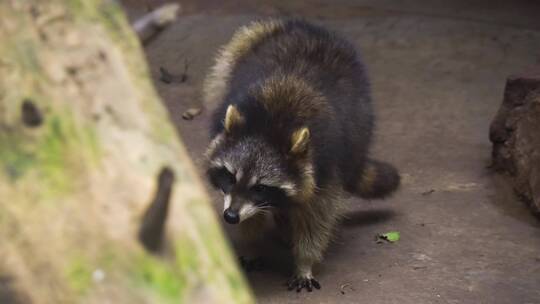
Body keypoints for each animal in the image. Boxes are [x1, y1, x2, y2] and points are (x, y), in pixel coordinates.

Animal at [205, 19, 398, 292]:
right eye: (230, 177)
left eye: (260, 187)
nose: (230, 216)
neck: (270, 125)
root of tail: (308, 26)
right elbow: (252, 217)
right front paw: (251, 243)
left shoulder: (325, 166)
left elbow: (317, 215)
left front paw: (305, 261)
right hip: (239, 51)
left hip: (360, 121)